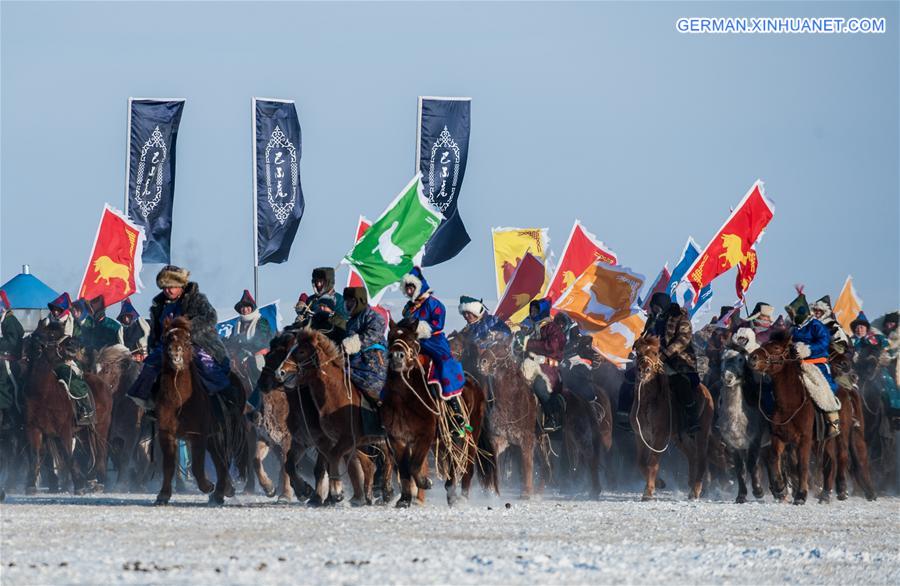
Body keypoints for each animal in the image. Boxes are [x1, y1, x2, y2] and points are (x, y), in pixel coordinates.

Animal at [154, 318, 244, 504]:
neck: (179, 400)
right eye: (166, 338)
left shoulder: (198, 434)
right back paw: (222, 492)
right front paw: (163, 495)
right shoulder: (166, 433)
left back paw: (219, 492)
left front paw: (207, 486)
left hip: (222, 433)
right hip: (214, 437)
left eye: (188, 340)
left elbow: (197, 465)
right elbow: (168, 464)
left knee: (223, 460)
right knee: (219, 460)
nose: (174, 352)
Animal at [384, 320, 500, 506]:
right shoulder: (397, 438)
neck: (404, 401)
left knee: (468, 466)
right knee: (453, 463)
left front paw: (425, 482)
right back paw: (450, 492)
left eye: (410, 339)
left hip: (470, 436)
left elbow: (414, 465)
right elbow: (404, 469)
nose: (397, 356)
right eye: (390, 337)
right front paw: (404, 499)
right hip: (448, 439)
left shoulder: (425, 435)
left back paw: (462, 498)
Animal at [628, 336, 712, 500]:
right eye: (638, 352)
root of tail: (706, 391)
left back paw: (696, 490)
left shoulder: (659, 436)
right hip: (681, 438)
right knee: (692, 455)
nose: (644, 370)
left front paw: (648, 491)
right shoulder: (640, 436)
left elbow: (652, 462)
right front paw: (659, 483)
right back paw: (692, 483)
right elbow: (640, 462)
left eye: (655, 353)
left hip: (702, 433)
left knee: (701, 458)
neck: (648, 401)